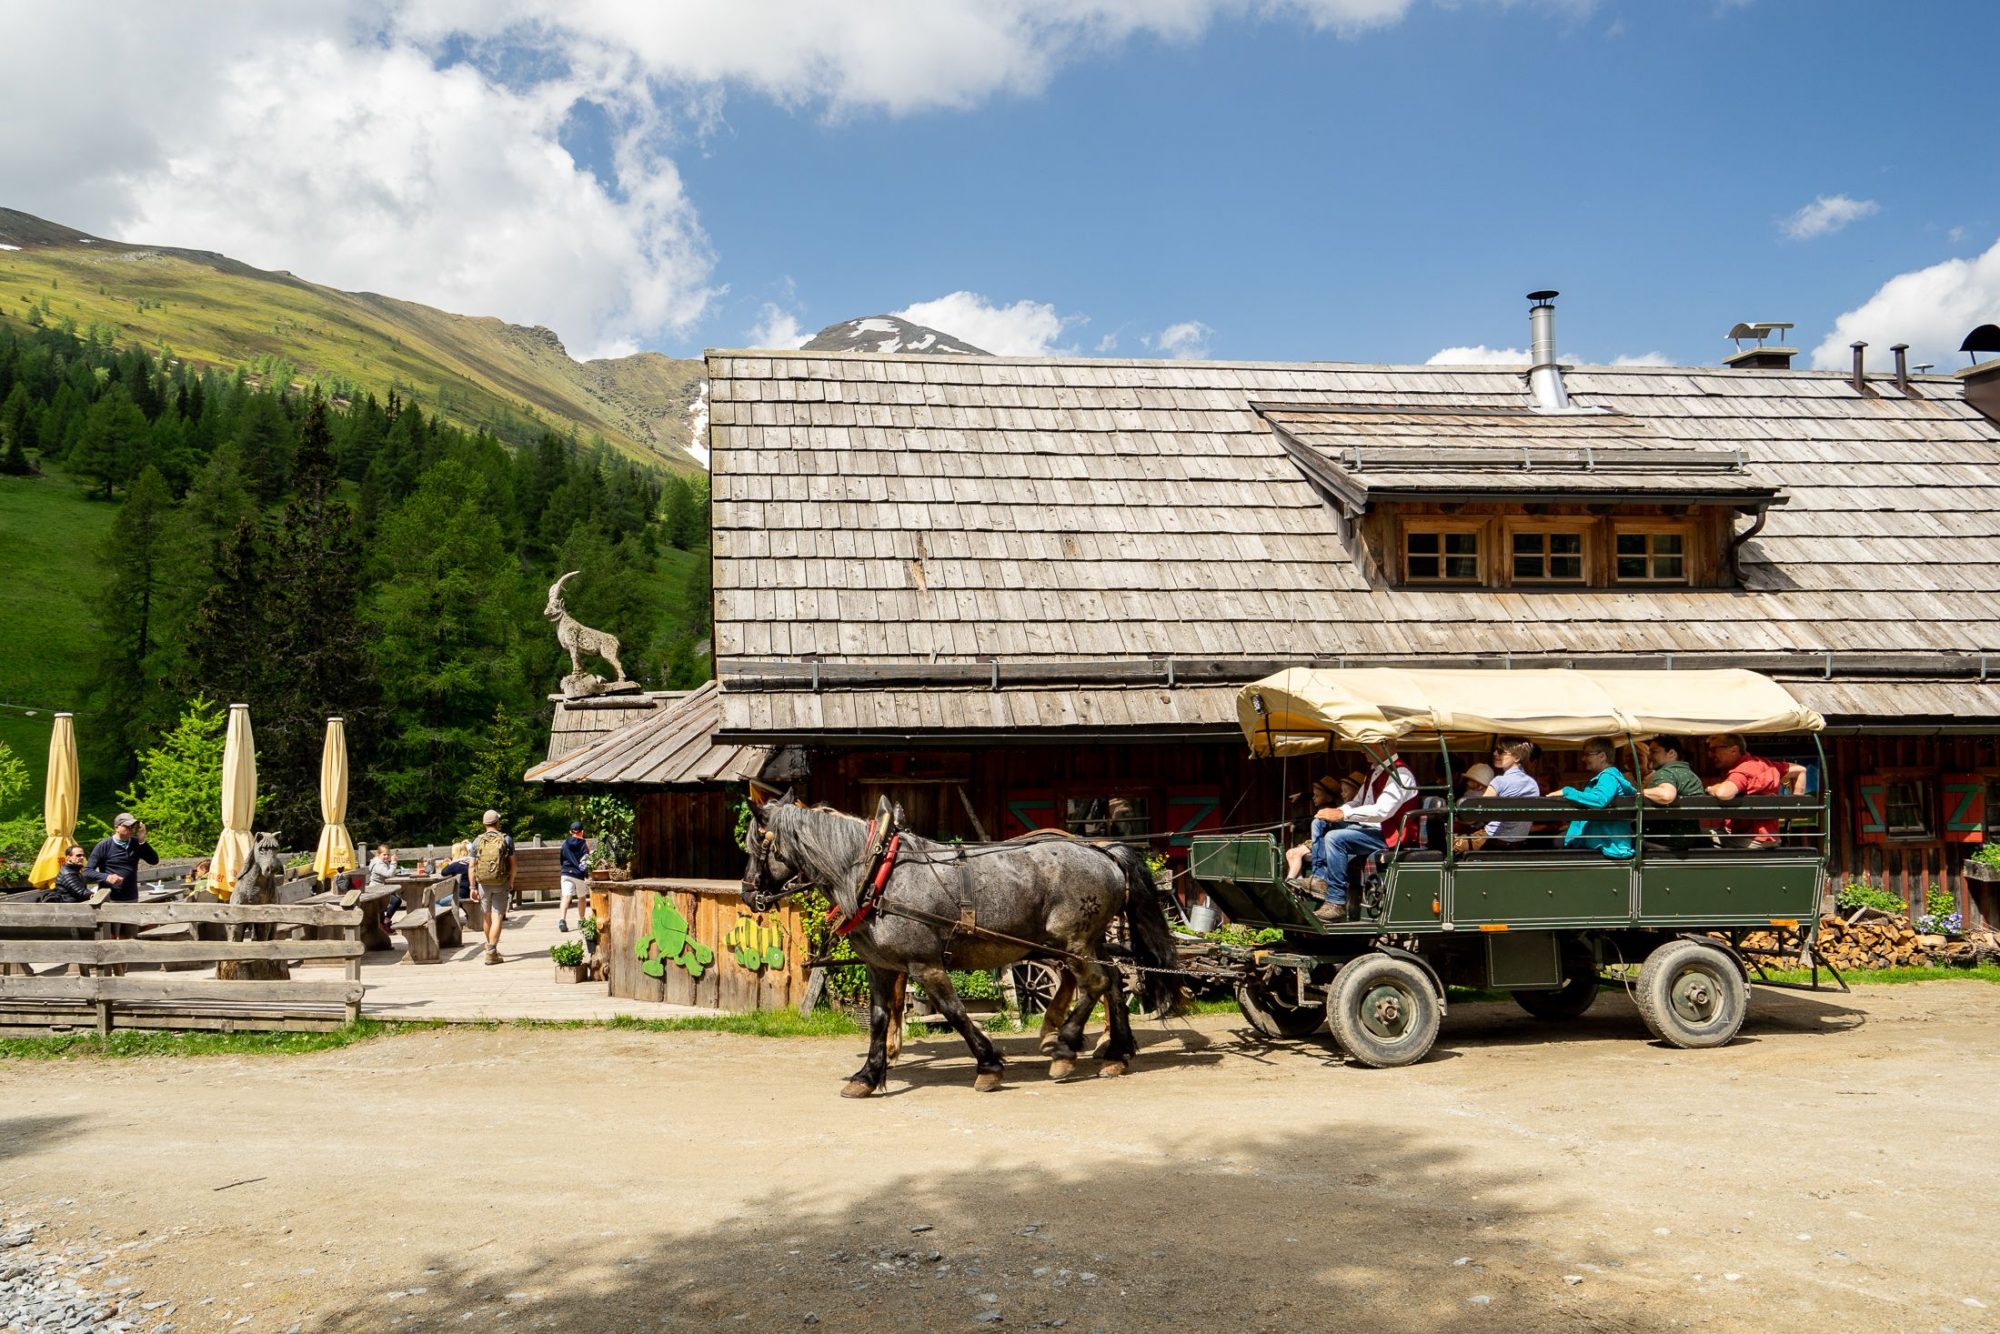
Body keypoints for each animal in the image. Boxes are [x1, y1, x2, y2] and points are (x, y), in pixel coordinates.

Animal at [744, 792, 1176, 1096]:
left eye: (753, 847)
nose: (748, 894)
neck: (878, 874)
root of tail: (1103, 852)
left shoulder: (925, 964)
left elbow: (954, 1012)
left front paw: (989, 1065)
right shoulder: (880, 967)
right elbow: (880, 1019)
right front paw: (867, 1075)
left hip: (1072, 943)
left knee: (1096, 983)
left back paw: (1065, 1047)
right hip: (1089, 942)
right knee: (1114, 982)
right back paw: (1116, 1054)